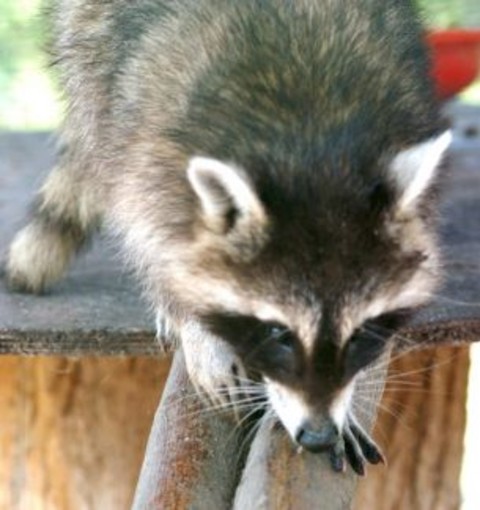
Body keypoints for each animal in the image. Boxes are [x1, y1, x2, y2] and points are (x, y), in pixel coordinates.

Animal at [5, 0, 452, 474]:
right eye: (278, 333)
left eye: (362, 332)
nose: (317, 435)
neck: (312, 149)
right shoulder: (152, 142)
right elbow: (148, 229)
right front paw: (190, 319)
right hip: (89, 44)